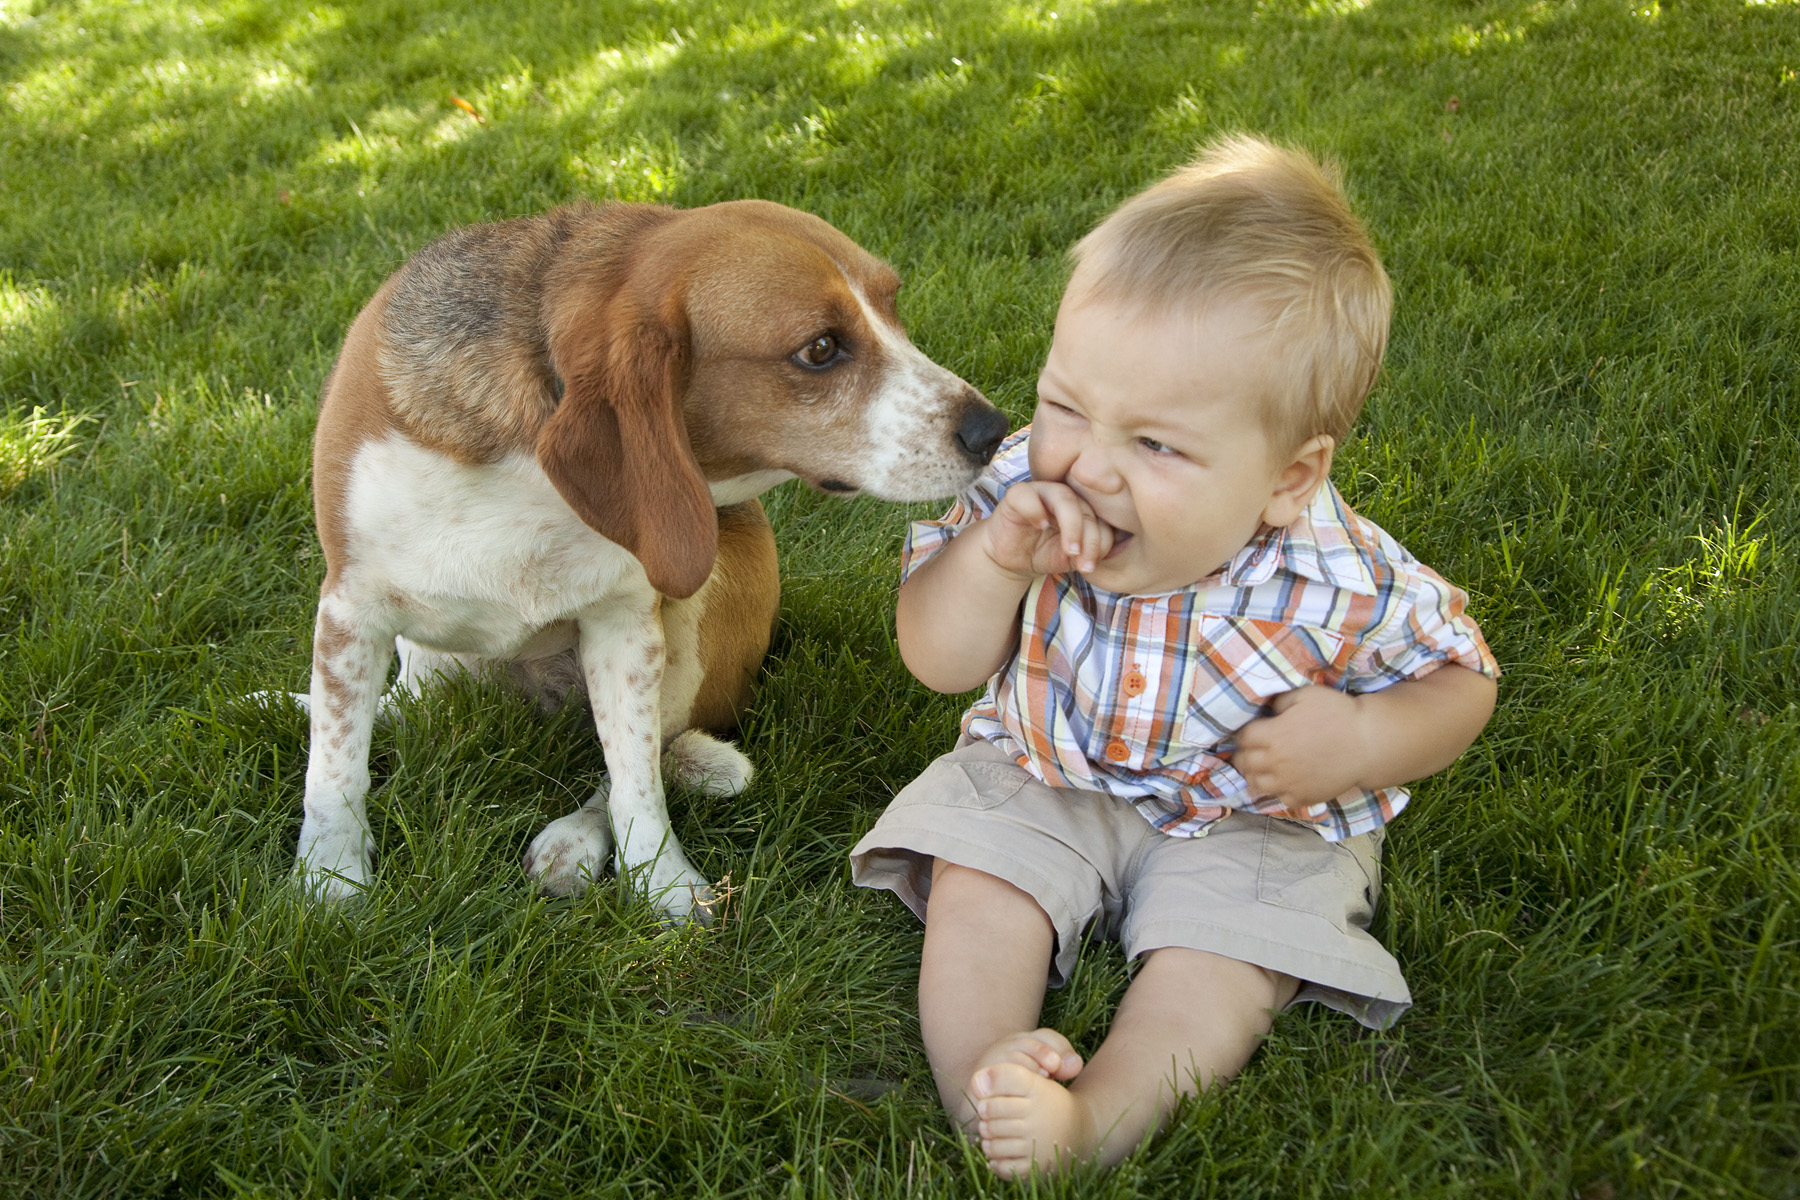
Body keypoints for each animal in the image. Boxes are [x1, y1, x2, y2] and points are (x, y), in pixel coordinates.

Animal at [288, 201, 1008, 928]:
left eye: (892, 305)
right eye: (820, 349)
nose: (993, 429)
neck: (532, 474)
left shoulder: (627, 624)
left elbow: (635, 776)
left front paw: (661, 882)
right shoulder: (350, 610)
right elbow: (337, 765)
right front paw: (330, 876)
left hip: (695, 611)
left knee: (651, 749)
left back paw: (575, 839)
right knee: (404, 707)